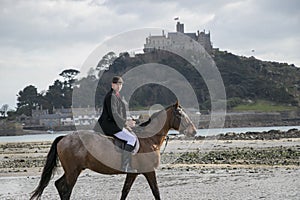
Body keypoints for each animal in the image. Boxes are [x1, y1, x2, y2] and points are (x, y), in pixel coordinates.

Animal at [29, 101, 197, 199]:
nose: (194, 131)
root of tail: (64, 137)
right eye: (180, 114)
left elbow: (125, 191)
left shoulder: (133, 173)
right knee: (66, 188)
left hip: (73, 170)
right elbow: (156, 192)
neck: (149, 139)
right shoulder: (149, 171)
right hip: (73, 171)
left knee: (60, 185)